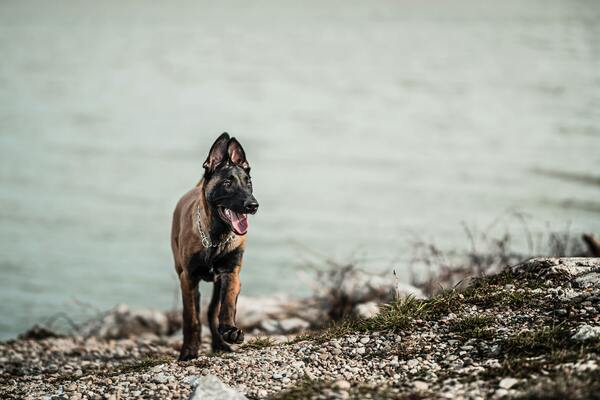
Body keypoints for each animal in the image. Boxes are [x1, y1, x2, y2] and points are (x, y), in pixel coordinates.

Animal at [171, 133, 260, 360]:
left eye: (249, 182)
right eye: (228, 182)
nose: (253, 206)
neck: (215, 237)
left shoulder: (231, 274)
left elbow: (226, 305)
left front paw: (229, 330)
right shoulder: (188, 277)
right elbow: (191, 318)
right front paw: (189, 351)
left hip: (218, 282)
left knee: (212, 311)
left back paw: (220, 342)